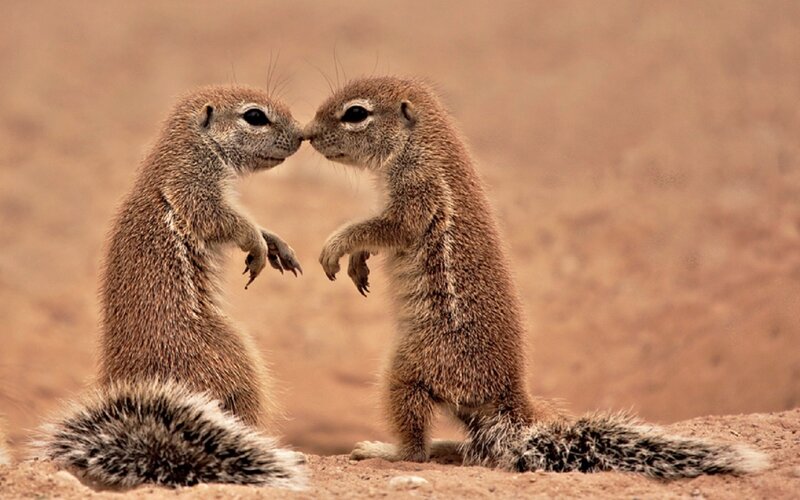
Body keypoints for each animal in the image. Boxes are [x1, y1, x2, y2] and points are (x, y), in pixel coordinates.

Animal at [35, 85, 306, 489]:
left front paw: (277, 245)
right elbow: (230, 222)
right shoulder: (194, 189)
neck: (189, 146)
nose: (303, 135)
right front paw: (258, 244)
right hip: (239, 358)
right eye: (255, 116)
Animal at [303, 76, 768, 478]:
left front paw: (336, 246)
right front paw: (356, 261)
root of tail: (509, 400)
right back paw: (448, 448)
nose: (307, 133)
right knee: (473, 446)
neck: (420, 143)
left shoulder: (419, 192)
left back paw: (385, 450)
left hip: (406, 369)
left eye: (356, 113)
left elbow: (385, 226)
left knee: (416, 448)